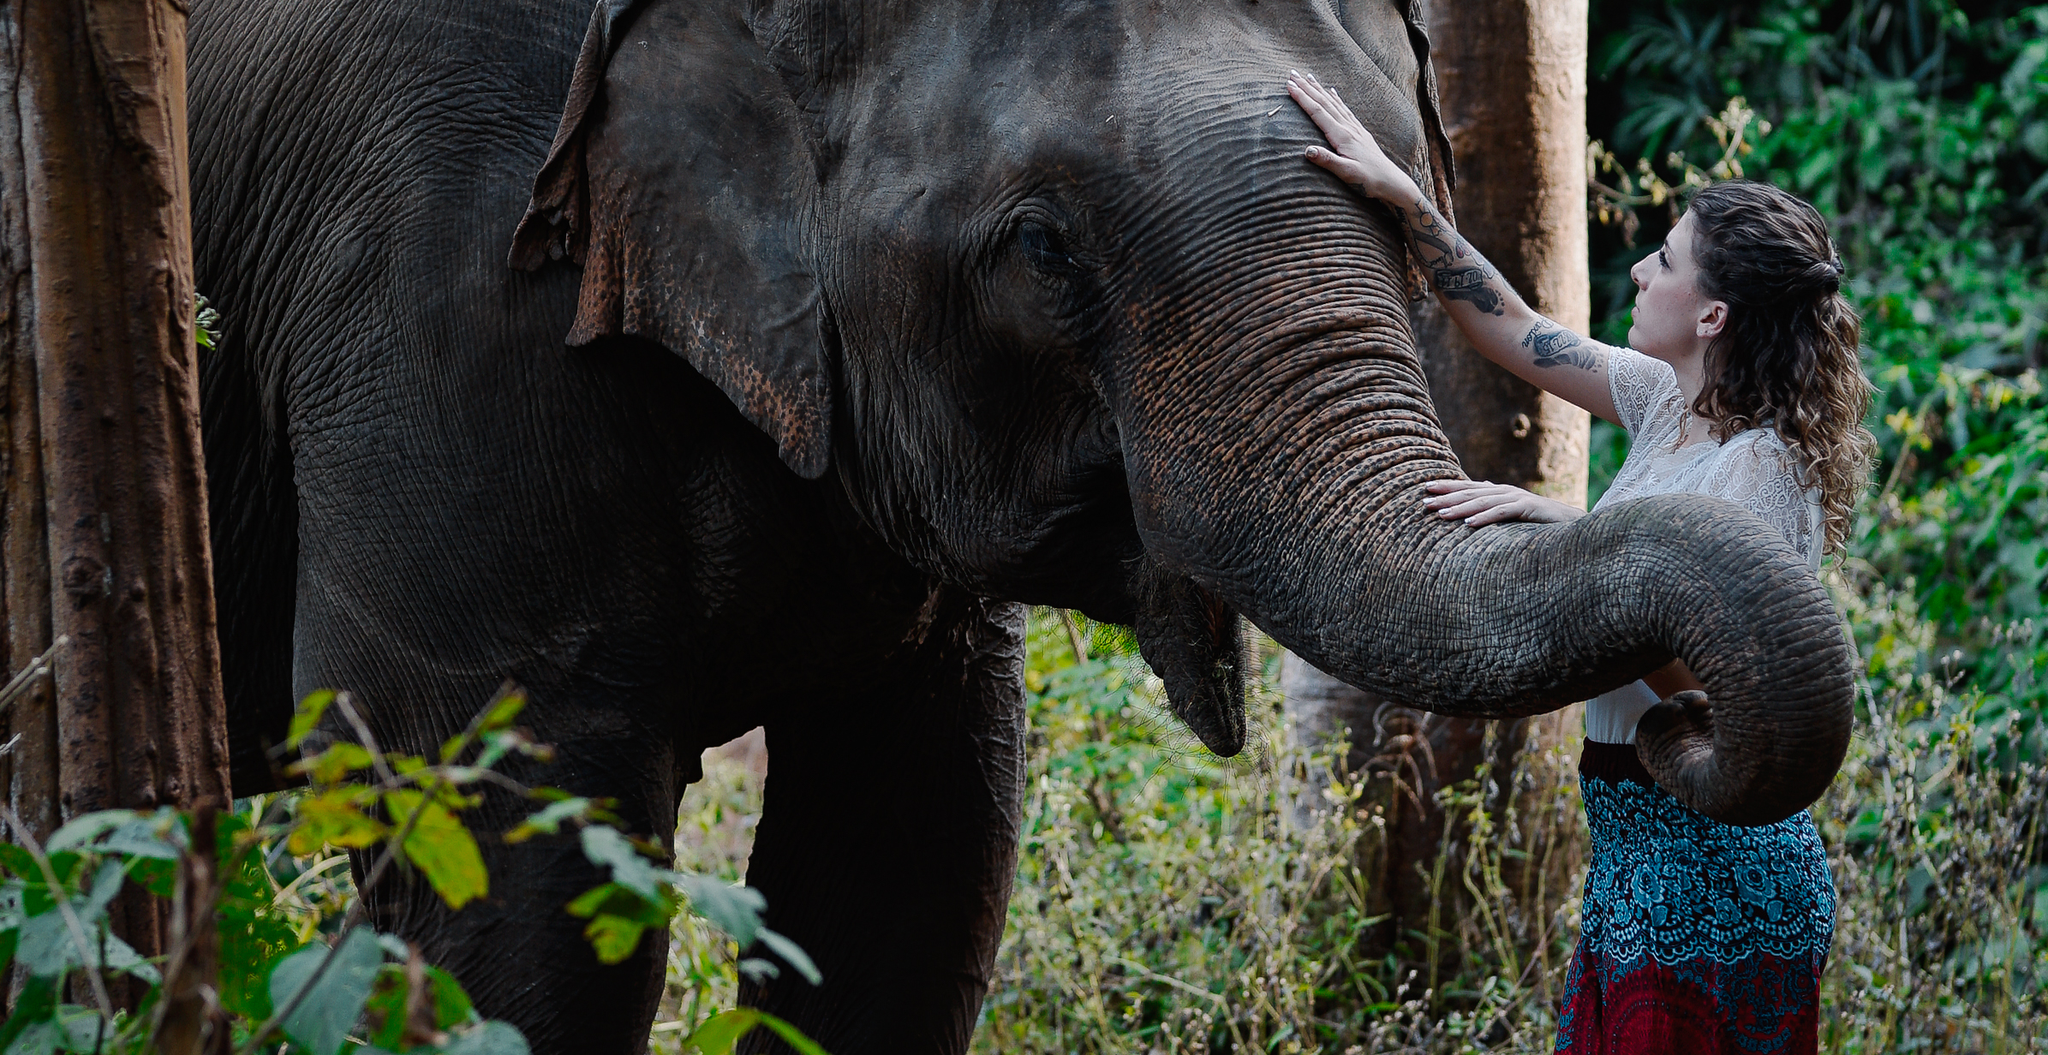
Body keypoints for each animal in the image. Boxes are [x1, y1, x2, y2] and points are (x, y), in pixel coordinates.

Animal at [188, 0, 1859, 1048]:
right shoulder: (445, 281)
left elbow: (912, 853)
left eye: (1409, 197)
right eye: (1044, 248)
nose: (1678, 723)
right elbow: (496, 849)